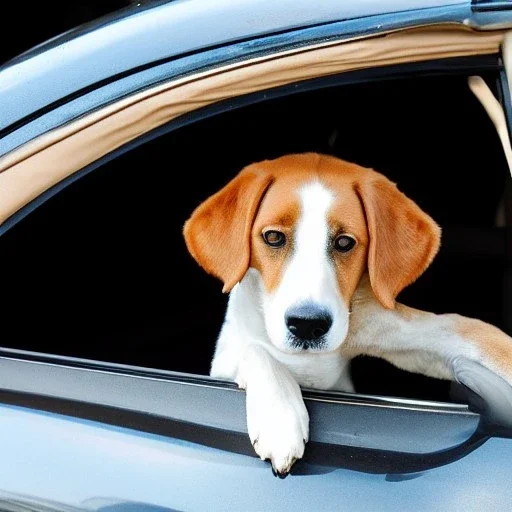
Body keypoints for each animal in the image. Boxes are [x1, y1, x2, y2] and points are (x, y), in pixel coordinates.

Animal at [183, 153, 512, 476]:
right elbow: (256, 351)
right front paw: (280, 419)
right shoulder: (226, 357)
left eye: (344, 242)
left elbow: (478, 336)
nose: (307, 325)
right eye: (273, 237)